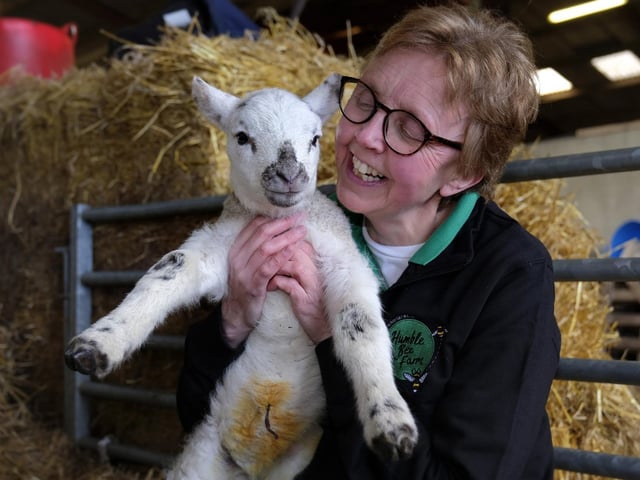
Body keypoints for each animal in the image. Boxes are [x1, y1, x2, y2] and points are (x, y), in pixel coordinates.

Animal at [64, 73, 418, 479]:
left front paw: (390, 421)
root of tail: (250, 462)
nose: (289, 176)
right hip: (201, 457)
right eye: (242, 137)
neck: (280, 223)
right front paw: (96, 345)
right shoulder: (221, 249)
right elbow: (170, 269)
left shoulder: (344, 261)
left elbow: (360, 325)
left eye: (315, 138)